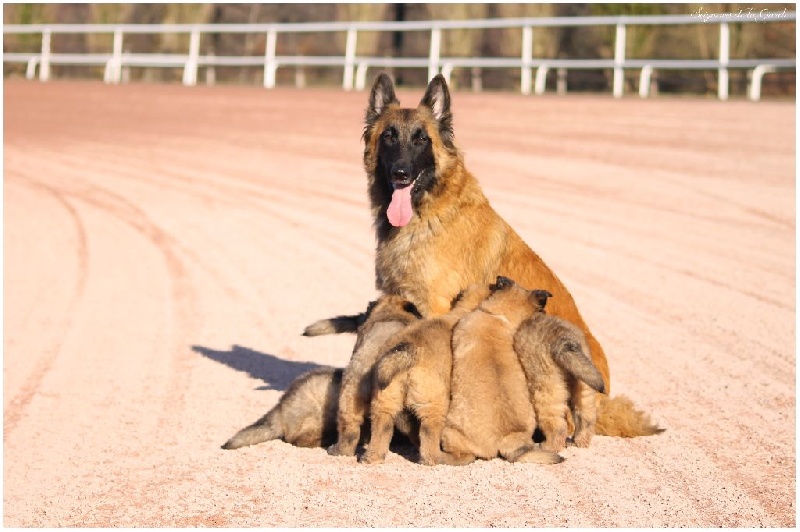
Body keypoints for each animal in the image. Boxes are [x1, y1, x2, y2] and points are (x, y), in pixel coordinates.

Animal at [360, 282, 490, 466]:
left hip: (384, 399)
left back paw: (372, 457)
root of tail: (410, 351)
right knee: (429, 439)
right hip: (433, 403)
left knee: (382, 427)